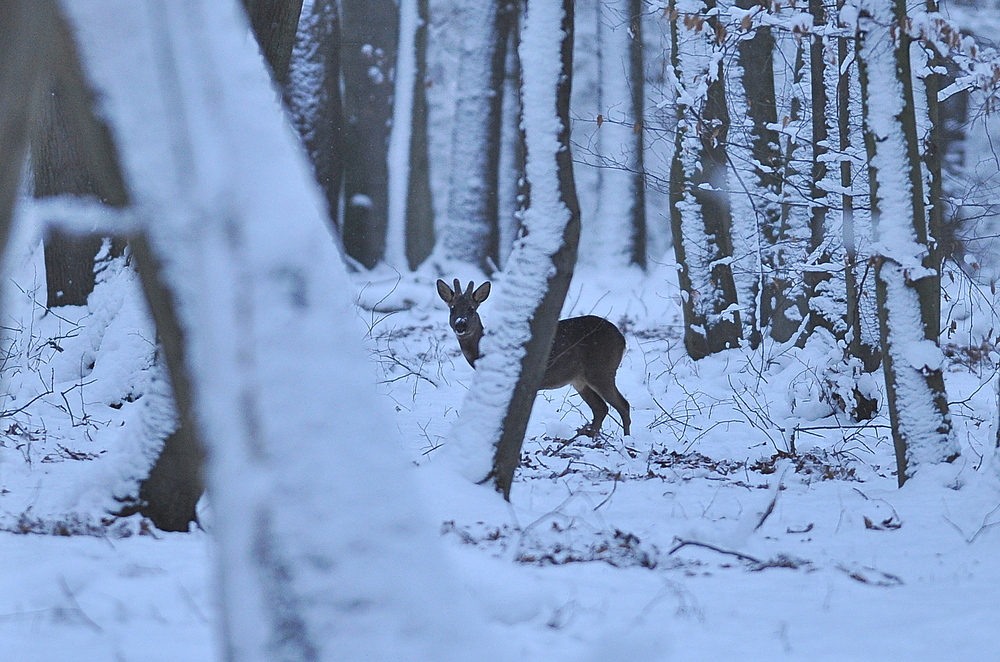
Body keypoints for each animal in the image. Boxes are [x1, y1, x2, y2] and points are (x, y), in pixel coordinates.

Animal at [434, 278, 628, 438]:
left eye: (471, 309)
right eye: (452, 309)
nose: (460, 324)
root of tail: (622, 339)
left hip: (601, 370)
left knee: (622, 405)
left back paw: (626, 441)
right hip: (580, 380)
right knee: (601, 408)